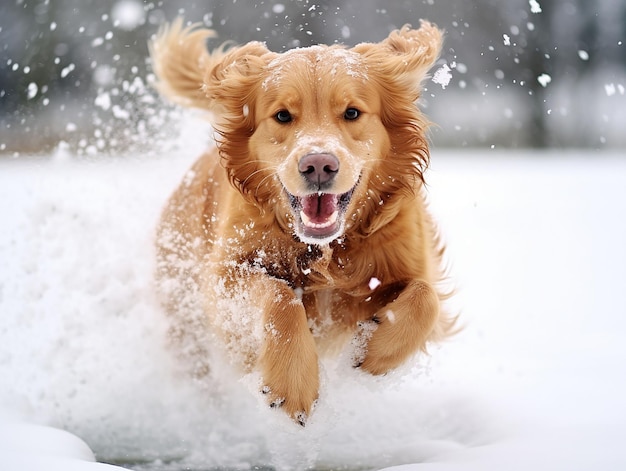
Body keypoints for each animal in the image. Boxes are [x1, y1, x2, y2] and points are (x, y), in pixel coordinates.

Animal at [150, 18, 454, 426]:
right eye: (282, 115)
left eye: (352, 113)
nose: (319, 164)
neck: (323, 250)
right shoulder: (224, 276)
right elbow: (280, 296)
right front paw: (291, 383)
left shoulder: (411, 261)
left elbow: (425, 297)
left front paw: (372, 350)